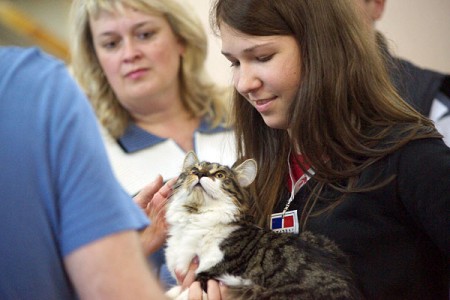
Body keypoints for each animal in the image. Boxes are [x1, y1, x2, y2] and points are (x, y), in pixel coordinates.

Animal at [165, 152, 362, 300]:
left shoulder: (210, 274)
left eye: (220, 175)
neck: (194, 217)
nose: (200, 174)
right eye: (194, 170)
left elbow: (187, 292)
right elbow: (177, 290)